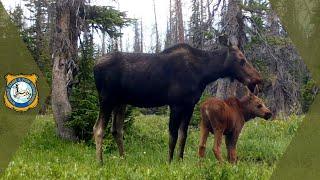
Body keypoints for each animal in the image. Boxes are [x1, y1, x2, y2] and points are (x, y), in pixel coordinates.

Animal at [93, 35, 262, 164]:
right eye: (241, 60)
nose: (258, 79)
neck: (204, 74)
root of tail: (94, 66)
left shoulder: (189, 105)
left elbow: (183, 134)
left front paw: (180, 160)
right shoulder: (175, 104)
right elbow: (172, 135)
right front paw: (169, 162)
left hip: (121, 102)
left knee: (116, 130)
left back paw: (123, 159)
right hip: (106, 98)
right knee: (98, 128)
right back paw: (100, 162)